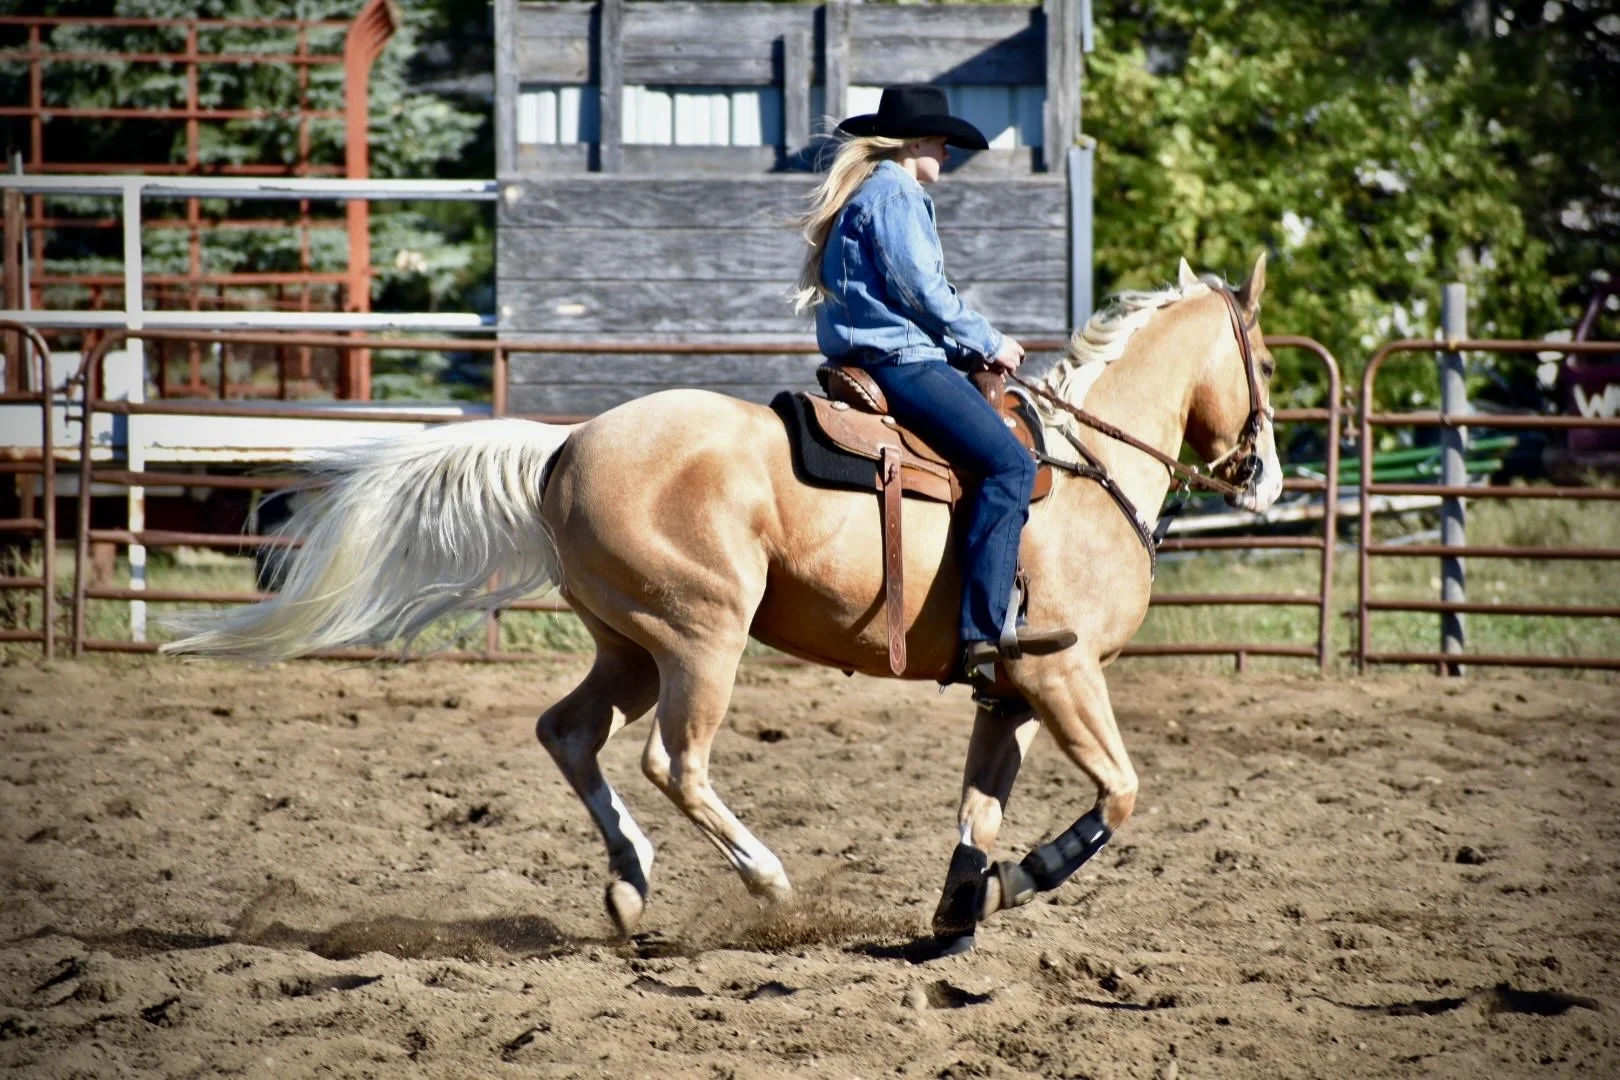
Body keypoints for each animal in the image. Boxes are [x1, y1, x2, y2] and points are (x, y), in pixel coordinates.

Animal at [163, 253, 1284, 952]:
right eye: (1265, 361)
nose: (1266, 477)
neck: (1087, 473)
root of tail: (567, 444)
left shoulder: (1007, 690)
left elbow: (981, 805)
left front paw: (965, 904)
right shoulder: (1061, 672)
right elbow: (1120, 794)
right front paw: (1023, 877)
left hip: (630, 644)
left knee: (569, 733)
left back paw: (631, 881)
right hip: (702, 639)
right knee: (673, 761)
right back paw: (768, 883)